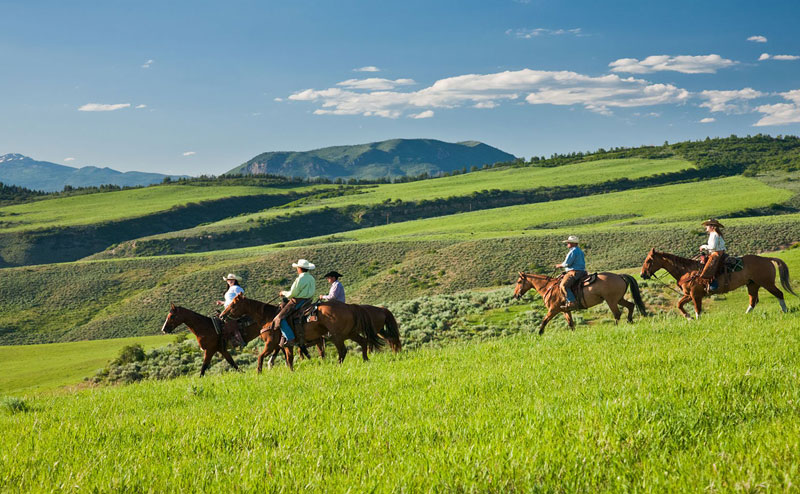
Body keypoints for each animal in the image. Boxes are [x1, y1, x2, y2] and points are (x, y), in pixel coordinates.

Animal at [512, 270, 648, 336]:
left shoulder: (553, 309)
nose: (515, 295)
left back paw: (617, 326)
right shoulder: (565, 310)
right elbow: (571, 323)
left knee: (617, 314)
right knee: (631, 306)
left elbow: (544, 320)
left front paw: (539, 334)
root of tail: (619, 276)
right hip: (619, 299)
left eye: (519, 281)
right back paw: (630, 321)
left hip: (611, 301)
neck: (549, 287)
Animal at [636, 247, 792, 320]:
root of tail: (766, 259)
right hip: (752, 284)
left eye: (649, 260)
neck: (688, 271)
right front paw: (688, 317)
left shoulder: (695, 295)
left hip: (767, 283)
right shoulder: (689, 295)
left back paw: (785, 311)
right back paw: (746, 314)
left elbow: (698, 309)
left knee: (779, 293)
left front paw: (696, 319)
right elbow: (679, 304)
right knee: (753, 301)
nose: (642, 274)